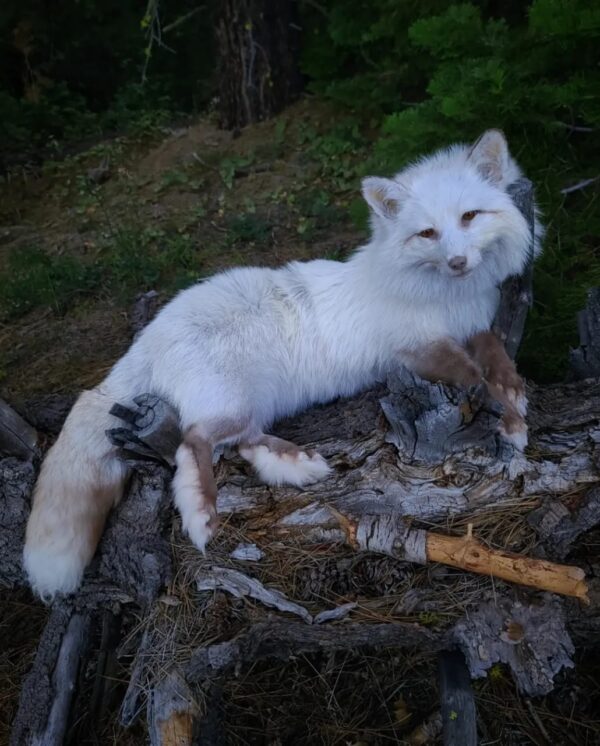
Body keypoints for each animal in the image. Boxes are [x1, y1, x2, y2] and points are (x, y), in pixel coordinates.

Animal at [24, 129, 543, 600]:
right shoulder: (415, 349)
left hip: (257, 401)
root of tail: (148, 335)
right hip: (231, 400)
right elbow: (476, 379)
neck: (445, 297)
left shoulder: (470, 329)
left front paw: (515, 399)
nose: (457, 262)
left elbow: (496, 360)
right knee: (193, 443)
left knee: (243, 443)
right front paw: (511, 423)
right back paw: (201, 512)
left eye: (470, 216)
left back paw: (297, 466)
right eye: (427, 233)